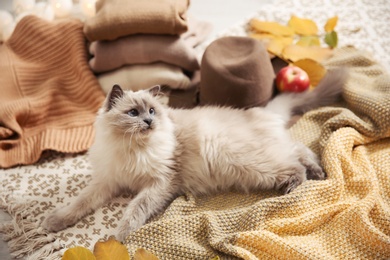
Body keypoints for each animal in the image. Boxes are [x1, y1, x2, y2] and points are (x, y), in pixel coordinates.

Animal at [42, 68, 348, 241]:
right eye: (133, 113)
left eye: (151, 111)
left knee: (296, 163)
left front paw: (121, 235)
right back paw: (318, 171)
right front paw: (54, 222)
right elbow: (79, 203)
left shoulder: (160, 183)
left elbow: (135, 209)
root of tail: (261, 112)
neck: (133, 150)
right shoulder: (108, 181)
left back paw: (296, 185)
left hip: (254, 164)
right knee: (298, 150)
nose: (149, 122)